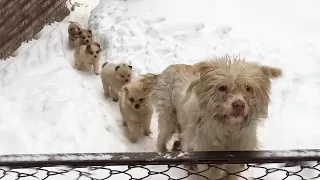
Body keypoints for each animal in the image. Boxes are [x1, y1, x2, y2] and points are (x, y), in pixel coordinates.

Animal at [150, 55, 282, 179]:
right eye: (222, 87)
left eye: (248, 88)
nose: (239, 105)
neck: (228, 129)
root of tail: (169, 68)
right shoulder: (207, 156)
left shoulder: (237, 156)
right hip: (168, 118)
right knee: (162, 139)